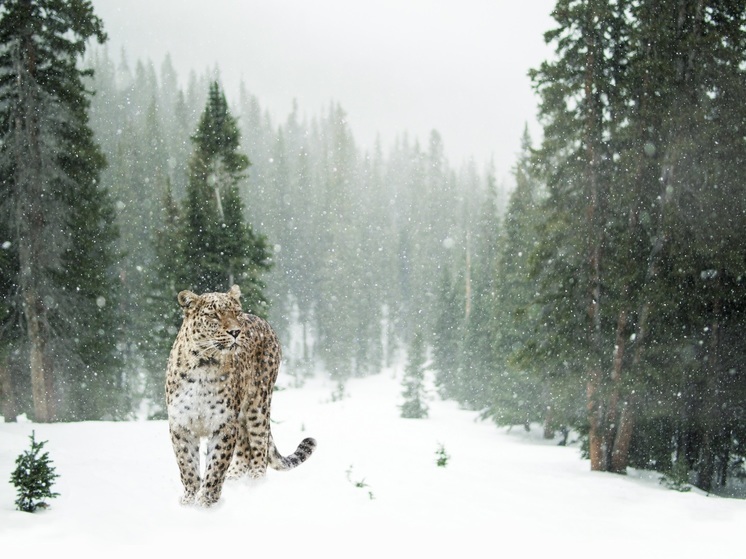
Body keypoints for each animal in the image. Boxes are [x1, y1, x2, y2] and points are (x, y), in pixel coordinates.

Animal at [164, 284, 316, 508]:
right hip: (242, 416)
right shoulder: (181, 424)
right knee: (245, 449)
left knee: (259, 447)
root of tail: (263, 321)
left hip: (258, 405)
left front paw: (207, 502)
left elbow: (216, 465)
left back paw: (255, 484)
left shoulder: (224, 424)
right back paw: (235, 479)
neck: (203, 365)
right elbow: (187, 465)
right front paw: (189, 500)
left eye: (236, 313)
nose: (236, 331)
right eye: (214, 315)